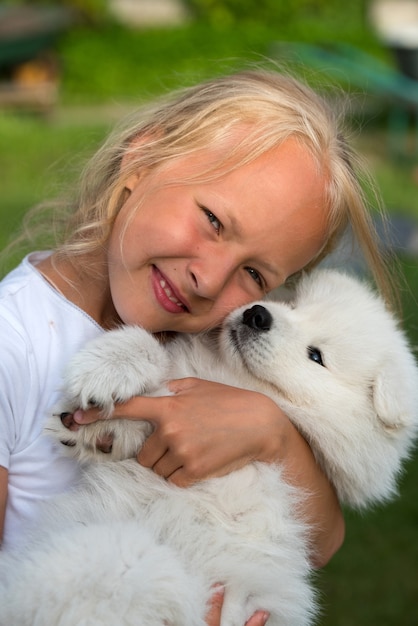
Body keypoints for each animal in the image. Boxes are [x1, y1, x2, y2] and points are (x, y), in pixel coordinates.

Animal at [0, 268, 418, 624]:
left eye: (316, 356)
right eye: (294, 303)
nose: (258, 314)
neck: (230, 378)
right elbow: (152, 349)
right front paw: (105, 379)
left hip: (135, 560)